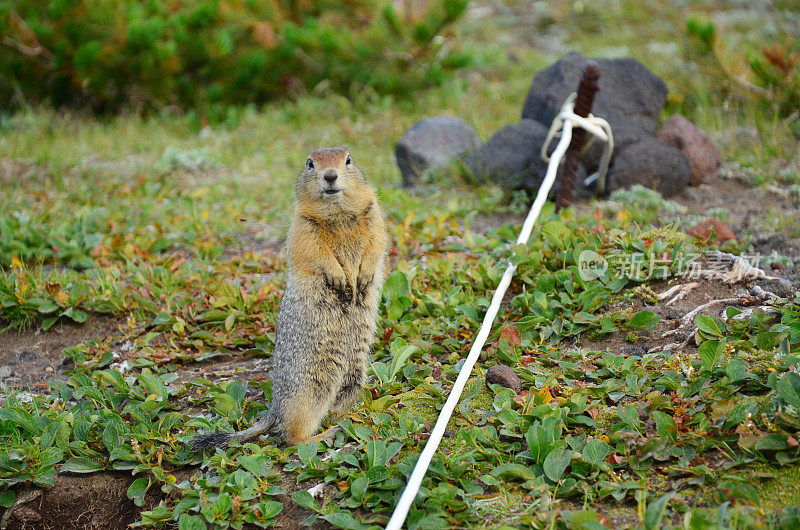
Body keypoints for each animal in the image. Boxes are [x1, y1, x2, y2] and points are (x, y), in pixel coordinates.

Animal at [189, 146, 386, 448]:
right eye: (310, 163)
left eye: (348, 160)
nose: (330, 176)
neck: (337, 212)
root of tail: (274, 407)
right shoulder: (303, 226)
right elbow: (315, 253)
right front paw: (339, 278)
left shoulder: (373, 213)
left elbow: (376, 242)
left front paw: (362, 276)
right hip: (308, 390)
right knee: (290, 435)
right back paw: (324, 434)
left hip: (354, 375)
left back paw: (351, 417)